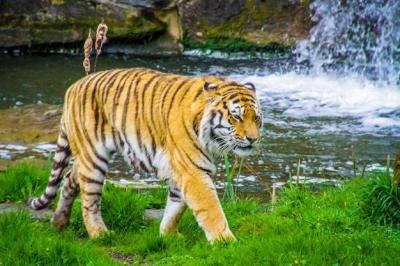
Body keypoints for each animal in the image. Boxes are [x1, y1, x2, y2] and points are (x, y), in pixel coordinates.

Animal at [26, 67, 260, 242]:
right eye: (236, 117)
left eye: (256, 118)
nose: (253, 139)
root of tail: (73, 87)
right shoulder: (192, 170)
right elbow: (210, 208)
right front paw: (226, 242)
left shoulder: (181, 170)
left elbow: (175, 207)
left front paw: (169, 235)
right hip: (94, 159)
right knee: (89, 200)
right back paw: (99, 234)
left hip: (84, 157)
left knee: (68, 178)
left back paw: (59, 223)